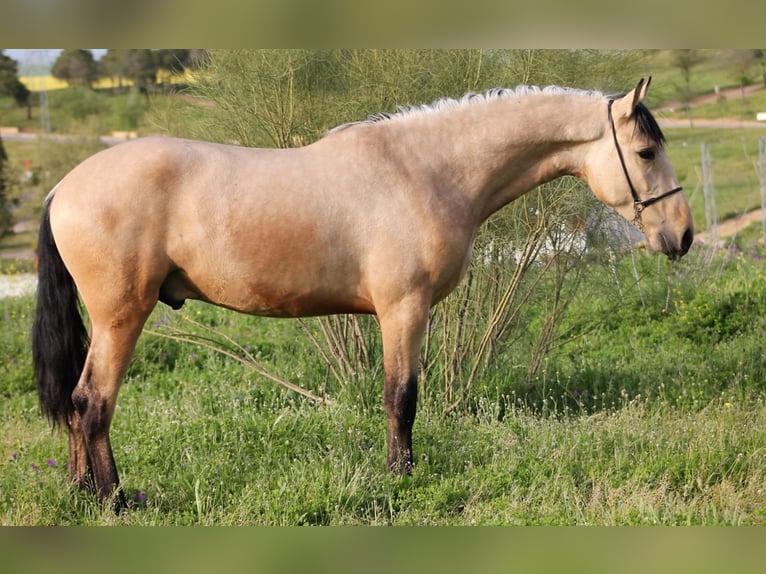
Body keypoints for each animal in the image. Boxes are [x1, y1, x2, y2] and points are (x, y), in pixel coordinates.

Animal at [31, 77, 696, 512]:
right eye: (645, 151)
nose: (683, 234)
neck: (426, 169)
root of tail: (64, 187)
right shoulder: (404, 308)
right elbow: (401, 397)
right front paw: (401, 478)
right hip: (122, 315)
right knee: (93, 401)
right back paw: (115, 499)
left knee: (76, 401)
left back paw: (81, 493)